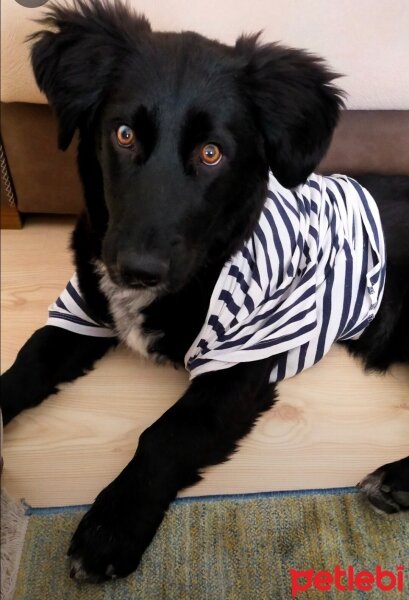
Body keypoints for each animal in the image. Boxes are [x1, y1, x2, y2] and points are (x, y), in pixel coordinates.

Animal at [2, 0, 408, 580]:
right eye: (123, 134)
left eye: (212, 153)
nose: (136, 271)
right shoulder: (79, 312)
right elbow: (27, 362)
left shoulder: (236, 369)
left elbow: (162, 437)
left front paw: (110, 528)